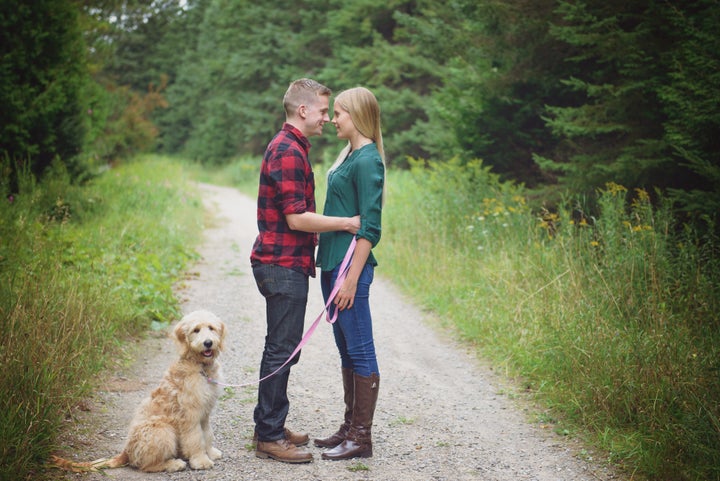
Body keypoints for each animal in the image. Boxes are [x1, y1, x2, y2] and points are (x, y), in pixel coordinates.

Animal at [95, 310, 225, 470]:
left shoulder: (205, 412)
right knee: (147, 466)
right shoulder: (190, 415)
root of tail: (126, 452)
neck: (200, 367)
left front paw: (211, 453)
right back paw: (173, 464)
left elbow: (207, 434)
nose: (208, 343)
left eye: (211, 328)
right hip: (163, 430)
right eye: (196, 330)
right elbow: (195, 438)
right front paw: (201, 460)